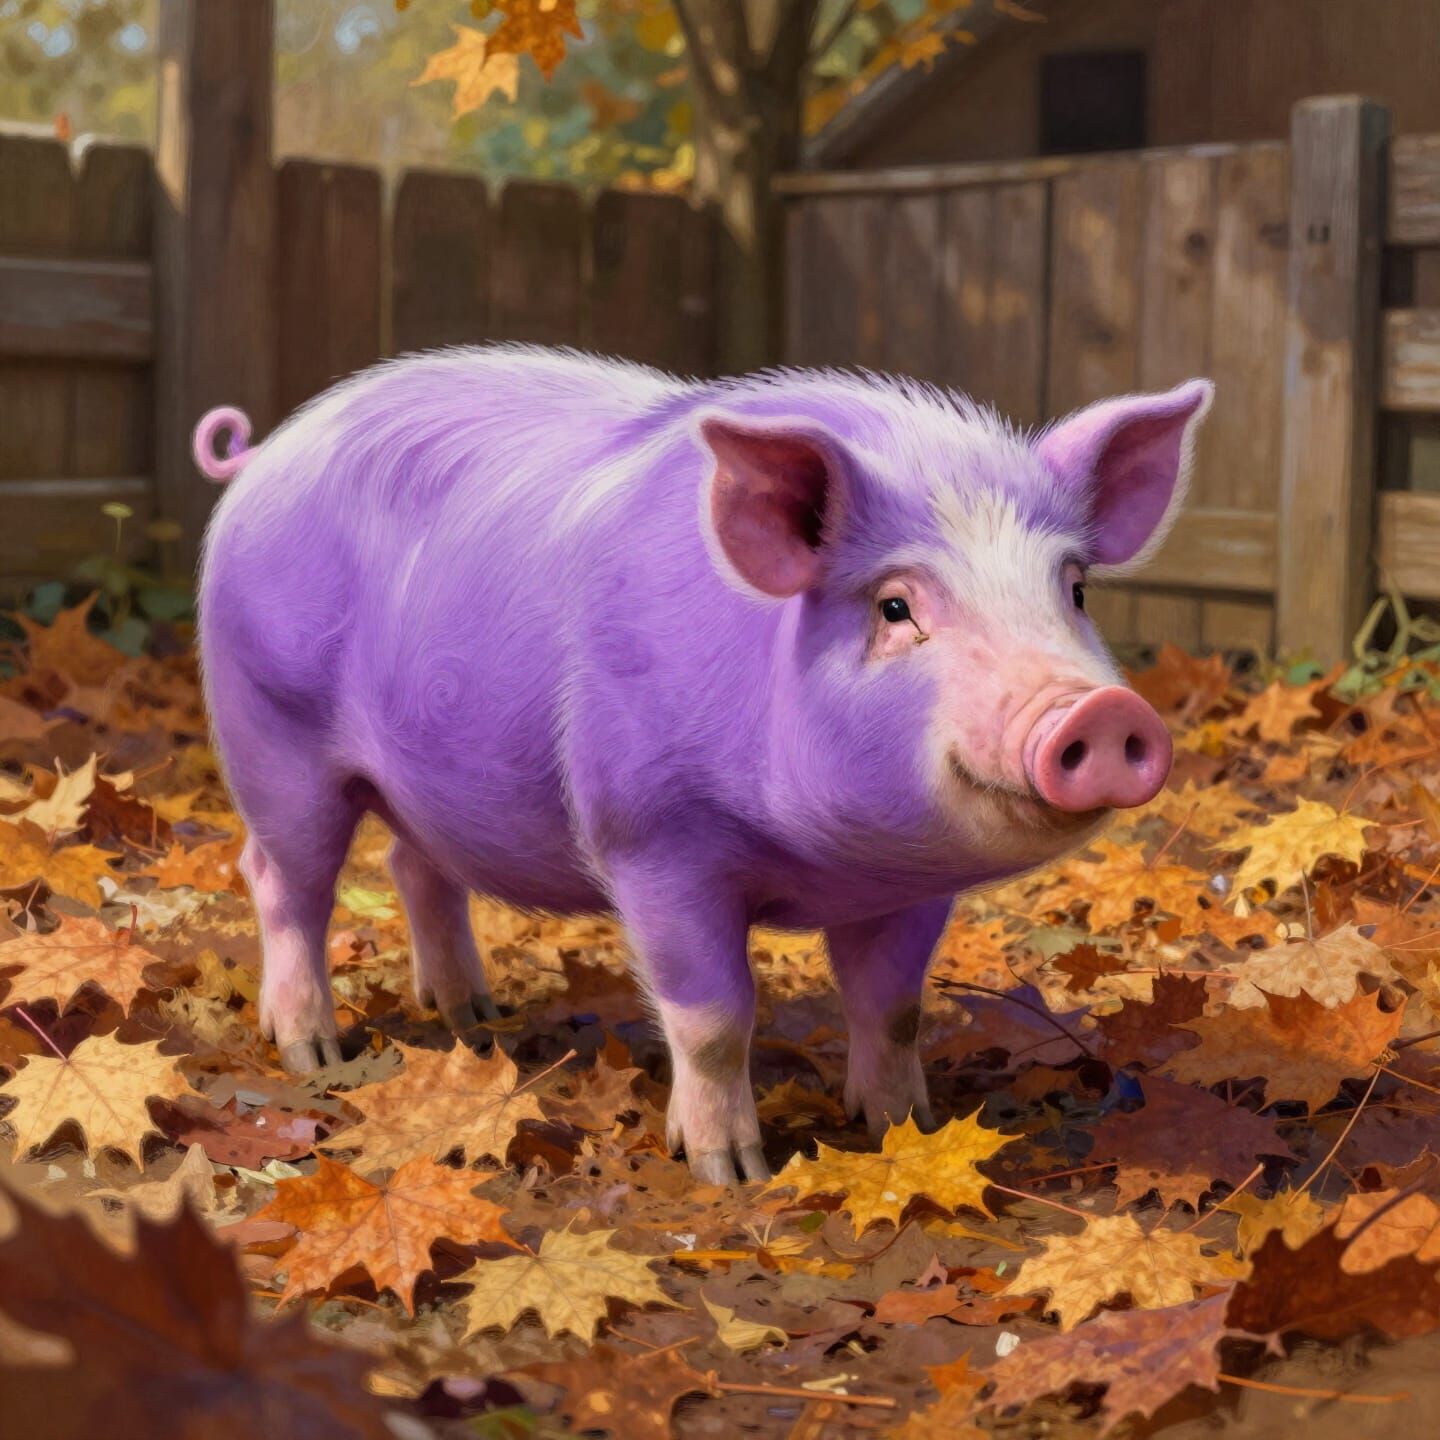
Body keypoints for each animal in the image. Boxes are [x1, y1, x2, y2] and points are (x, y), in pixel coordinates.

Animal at [194, 346, 1212, 1184]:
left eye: (1073, 590)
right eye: (894, 607)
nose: (1102, 711)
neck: (830, 863)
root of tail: (262, 456)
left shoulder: (914, 886)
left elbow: (892, 1008)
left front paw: (902, 1131)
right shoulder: (653, 839)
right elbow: (715, 1017)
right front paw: (730, 1172)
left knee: (416, 866)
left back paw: (471, 1019)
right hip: (269, 727)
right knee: (283, 879)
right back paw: (314, 1052)